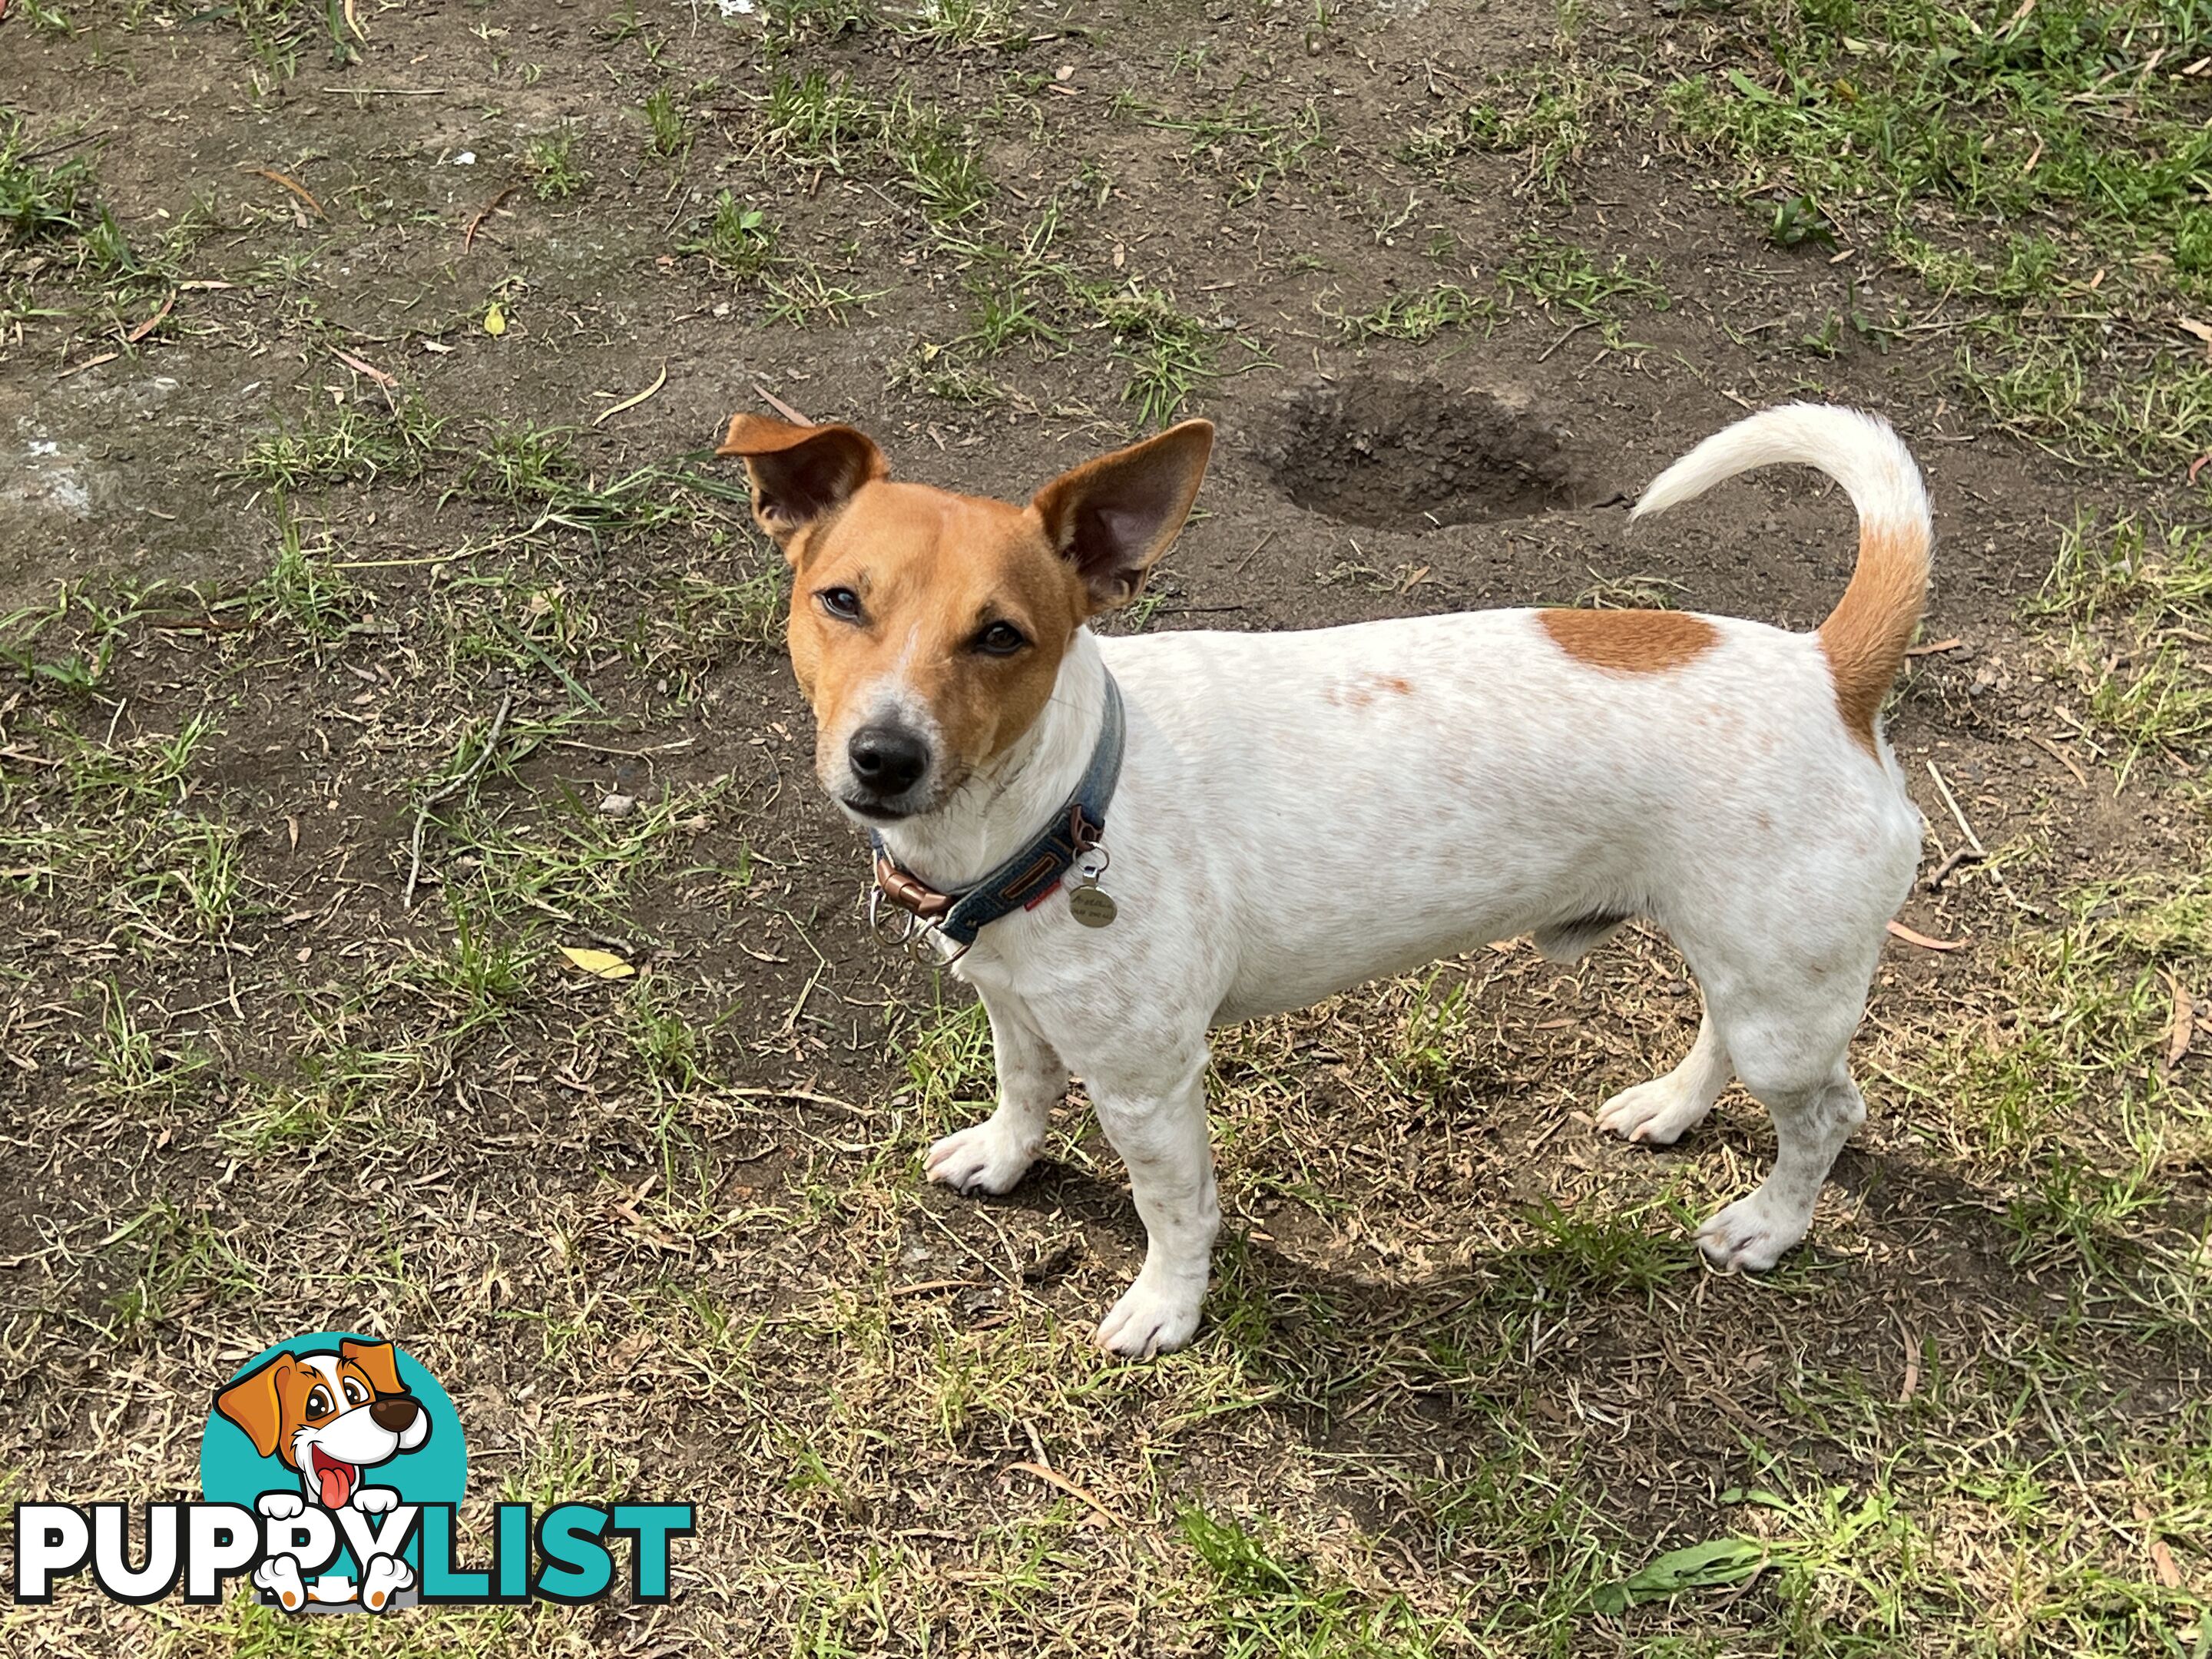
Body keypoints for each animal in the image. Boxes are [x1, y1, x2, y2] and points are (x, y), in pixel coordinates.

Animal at [717, 406, 1929, 1363]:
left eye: (1002, 636)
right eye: (840, 601)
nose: (884, 757)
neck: (1070, 794)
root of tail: (1829, 670)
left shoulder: (1149, 1084)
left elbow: (1173, 1206)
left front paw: (1167, 1308)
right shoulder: (1017, 1008)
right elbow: (1023, 1093)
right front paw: (1004, 1160)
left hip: (1784, 1001)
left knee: (1830, 1113)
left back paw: (1769, 1224)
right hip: (1752, 967)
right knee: (1726, 1037)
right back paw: (1669, 1107)